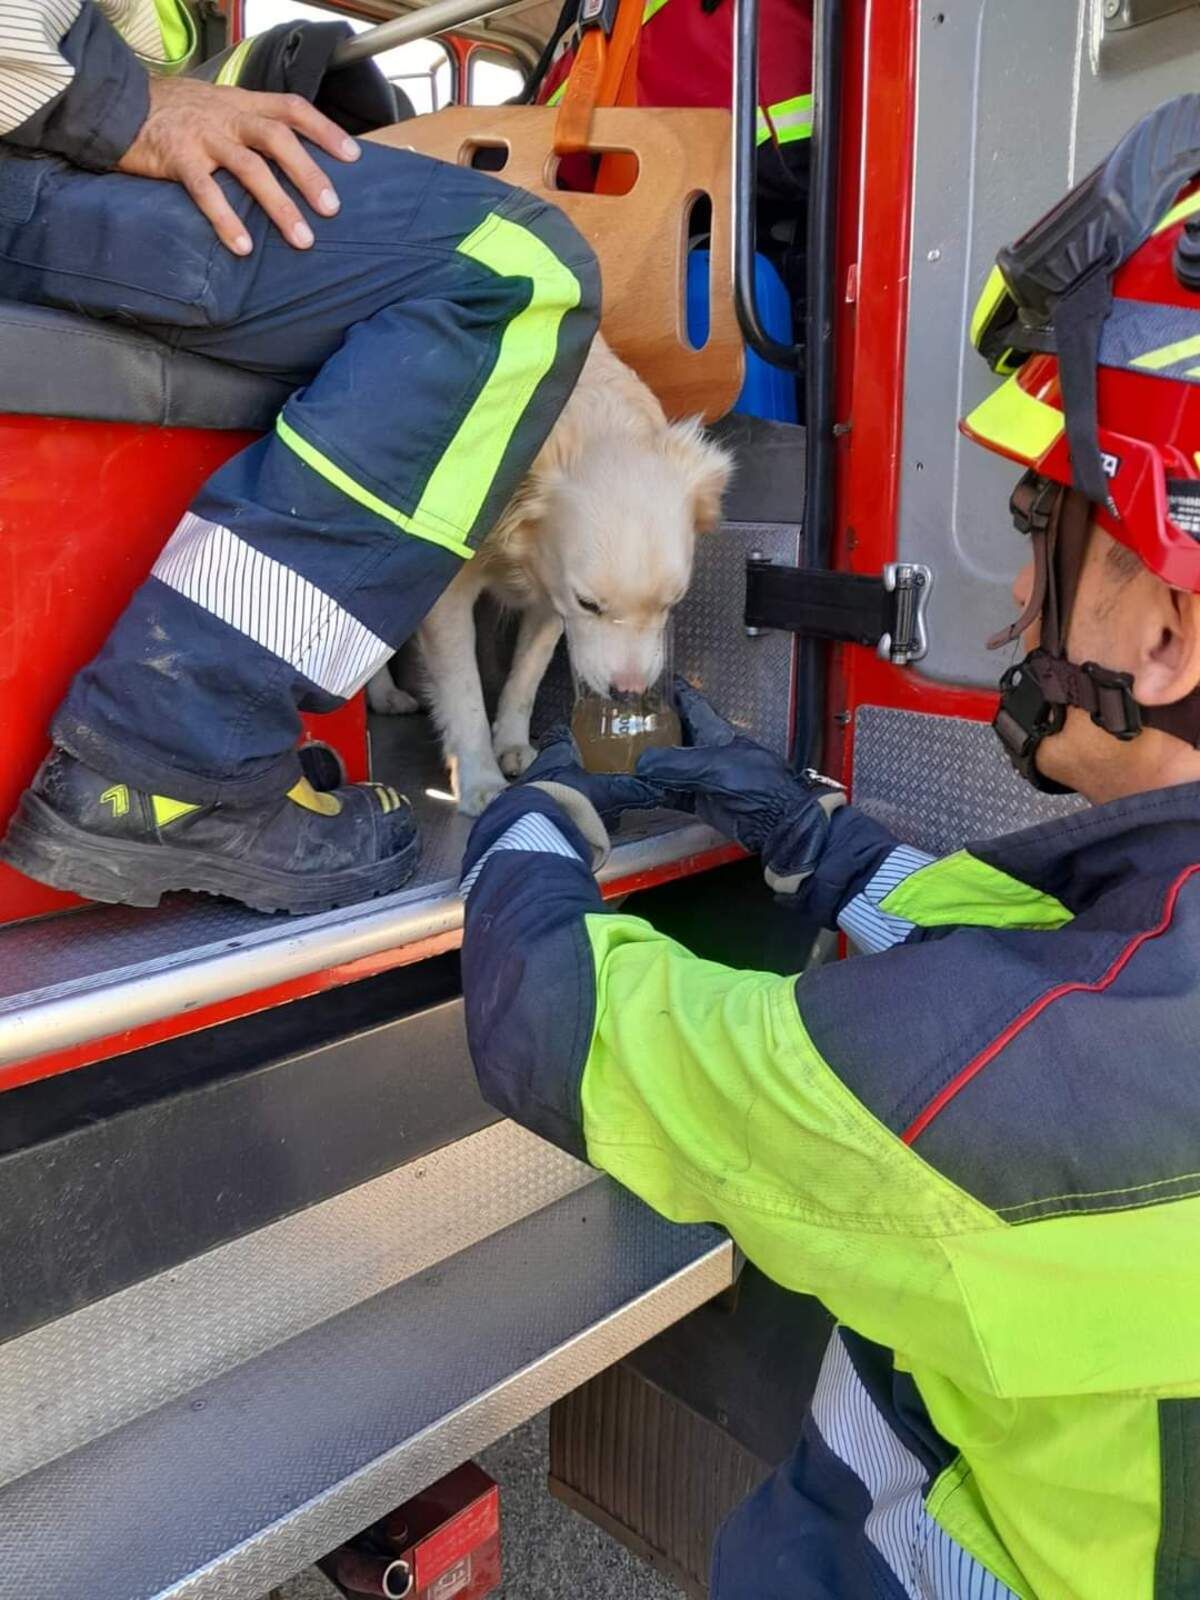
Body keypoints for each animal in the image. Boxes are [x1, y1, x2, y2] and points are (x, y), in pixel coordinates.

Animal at [366, 334, 732, 812]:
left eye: (672, 603)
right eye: (589, 604)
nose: (629, 694)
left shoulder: (549, 597)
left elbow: (526, 675)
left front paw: (511, 745)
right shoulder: (451, 594)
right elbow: (463, 692)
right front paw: (480, 777)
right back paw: (381, 693)